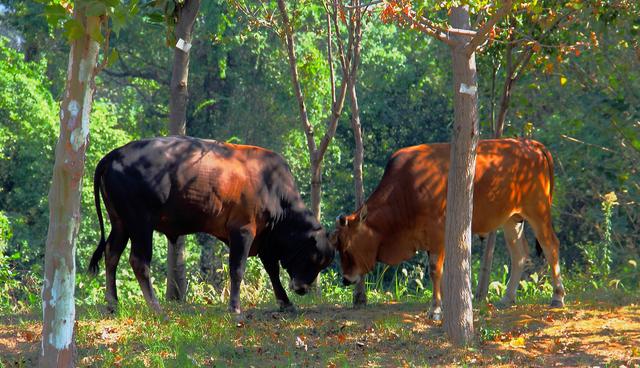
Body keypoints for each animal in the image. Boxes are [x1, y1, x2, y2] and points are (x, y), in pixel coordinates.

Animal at [89, 137, 336, 314]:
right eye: (313, 257)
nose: (302, 289)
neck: (271, 187)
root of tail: (115, 154)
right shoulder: (243, 231)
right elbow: (237, 269)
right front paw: (235, 307)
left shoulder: (265, 239)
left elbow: (272, 271)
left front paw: (285, 302)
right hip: (140, 224)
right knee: (138, 261)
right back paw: (155, 307)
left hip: (120, 223)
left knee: (111, 254)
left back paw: (113, 303)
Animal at [332, 138, 568, 320]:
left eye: (347, 246)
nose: (346, 279)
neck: (405, 191)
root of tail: (531, 144)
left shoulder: (437, 234)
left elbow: (435, 270)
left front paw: (436, 309)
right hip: (512, 219)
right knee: (519, 254)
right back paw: (508, 297)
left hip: (538, 211)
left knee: (551, 246)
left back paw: (557, 296)